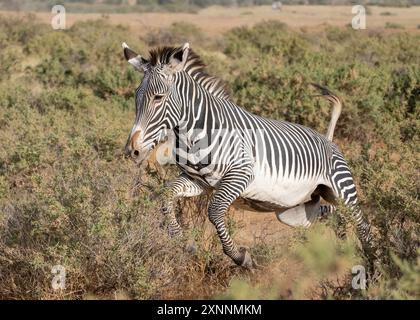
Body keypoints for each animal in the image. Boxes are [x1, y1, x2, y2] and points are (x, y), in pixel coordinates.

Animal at [121, 42, 374, 268]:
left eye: (158, 98)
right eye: (136, 97)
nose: (132, 150)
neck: (196, 134)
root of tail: (328, 139)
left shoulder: (241, 174)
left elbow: (215, 211)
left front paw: (240, 257)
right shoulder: (198, 181)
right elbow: (166, 196)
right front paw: (184, 242)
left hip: (342, 192)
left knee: (363, 226)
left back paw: (373, 265)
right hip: (295, 209)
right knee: (331, 214)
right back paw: (344, 246)